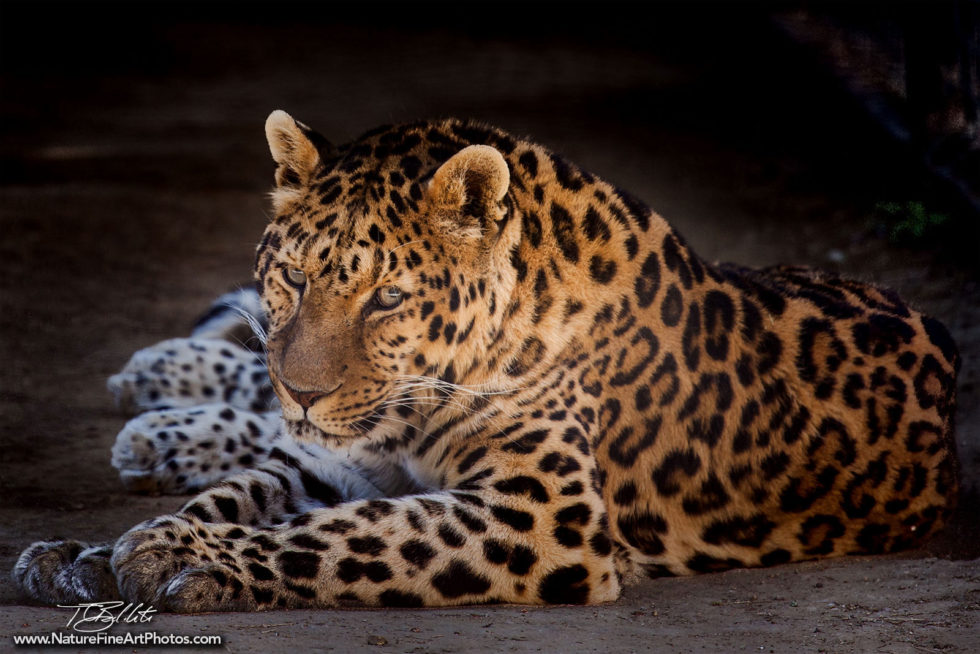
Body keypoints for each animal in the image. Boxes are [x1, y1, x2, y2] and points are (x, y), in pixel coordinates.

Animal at [11, 110, 960, 612]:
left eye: (387, 298)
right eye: (294, 275)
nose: (309, 394)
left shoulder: (542, 515)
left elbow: (352, 533)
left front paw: (183, 556)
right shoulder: (325, 459)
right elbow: (248, 490)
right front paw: (93, 552)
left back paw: (160, 416)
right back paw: (164, 393)